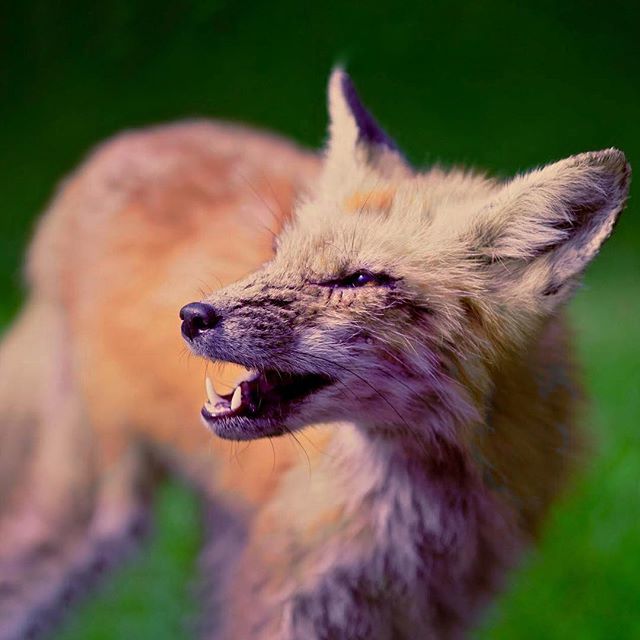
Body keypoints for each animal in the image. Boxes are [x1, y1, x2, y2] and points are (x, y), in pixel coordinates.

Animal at [0, 68, 630, 639]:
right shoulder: (286, 600)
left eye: (358, 279)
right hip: (88, 515)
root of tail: (130, 138)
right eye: (278, 255)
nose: (191, 316)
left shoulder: (433, 613)